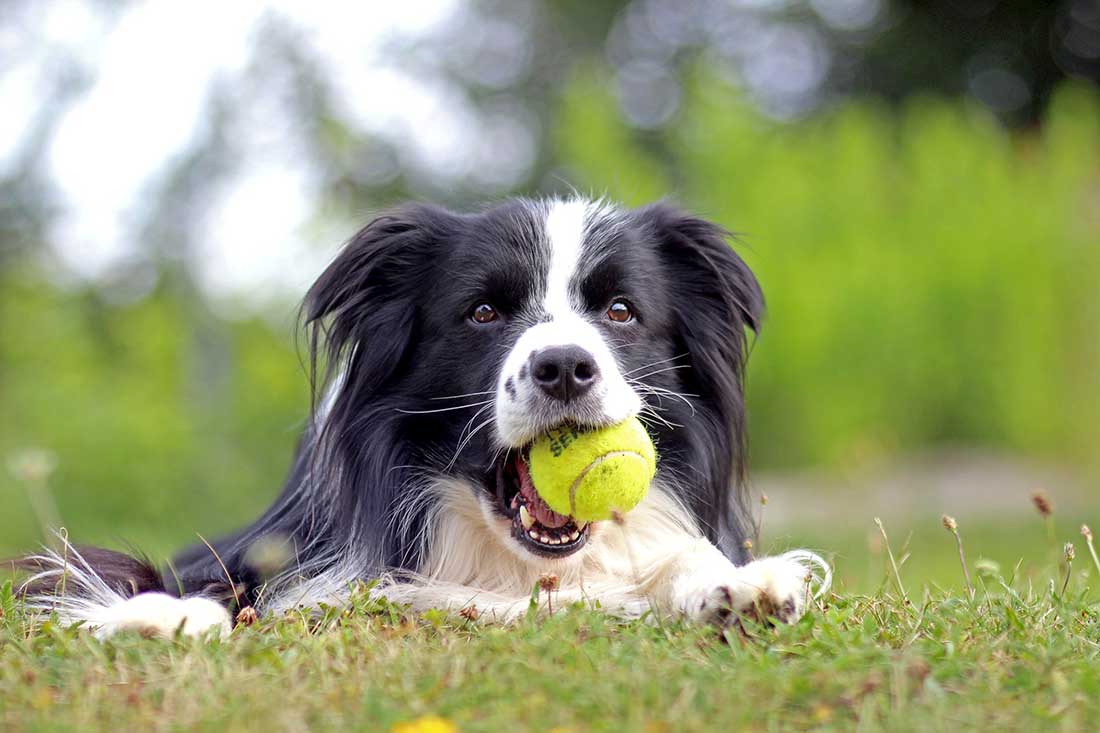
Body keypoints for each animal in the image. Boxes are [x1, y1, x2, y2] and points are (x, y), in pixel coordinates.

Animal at [17, 195, 827, 633]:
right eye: (484, 312)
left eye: (622, 312)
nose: (564, 367)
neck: (518, 566)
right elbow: (154, 577)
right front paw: (162, 614)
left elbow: (685, 557)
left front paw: (744, 585)